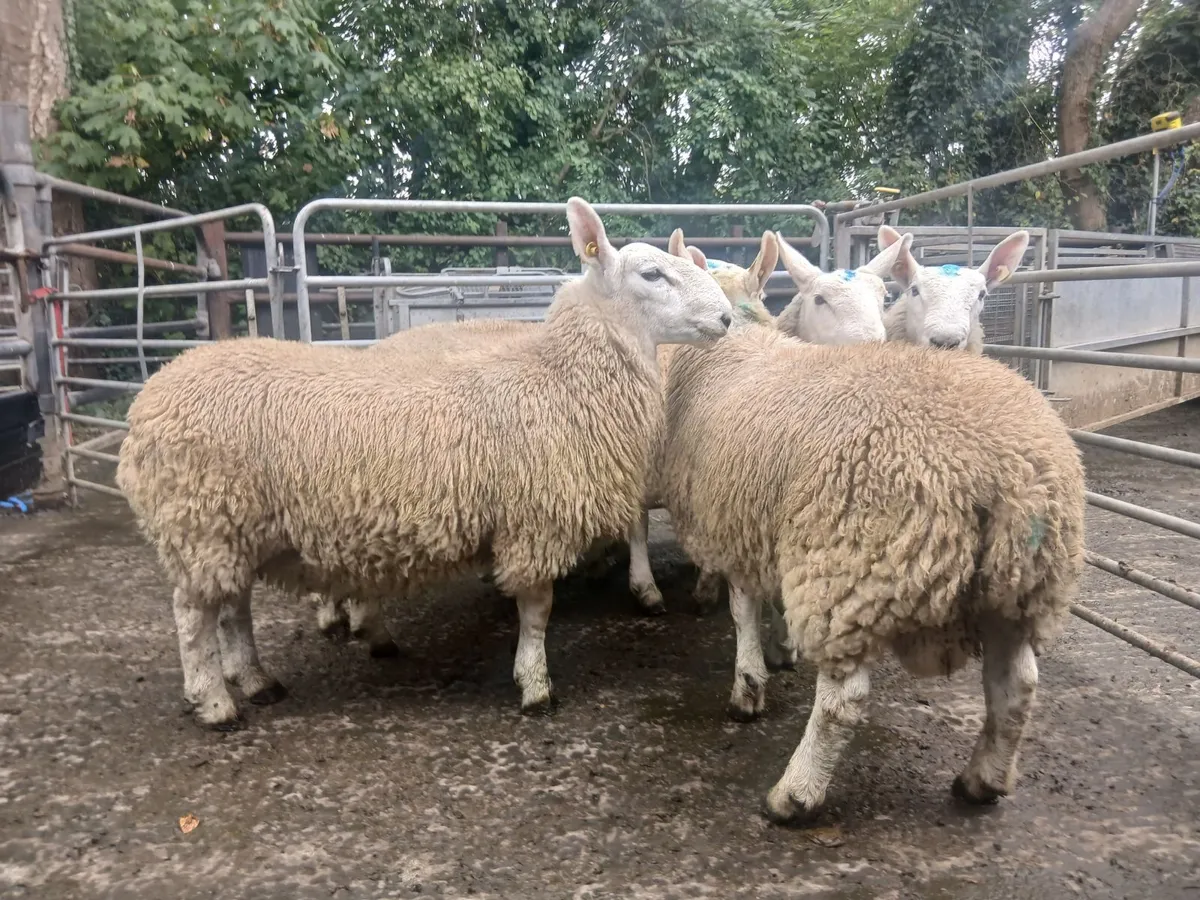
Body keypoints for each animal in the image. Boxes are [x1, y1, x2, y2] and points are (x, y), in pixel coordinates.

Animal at [115, 197, 734, 729]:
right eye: (651, 275)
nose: (728, 318)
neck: (558, 378)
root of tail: (149, 399)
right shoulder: (532, 523)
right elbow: (537, 611)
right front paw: (536, 686)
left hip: (230, 527)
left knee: (232, 607)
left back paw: (256, 679)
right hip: (199, 524)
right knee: (193, 617)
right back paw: (216, 702)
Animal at [658, 327, 1085, 823]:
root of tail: (1001, 469)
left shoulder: (735, 528)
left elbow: (742, 611)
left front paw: (748, 688)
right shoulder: (768, 529)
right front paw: (782, 648)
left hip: (849, 567)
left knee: (843, 702)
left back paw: (795, 795)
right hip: (1021, 588)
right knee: (1016, 687)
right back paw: (982, 781)